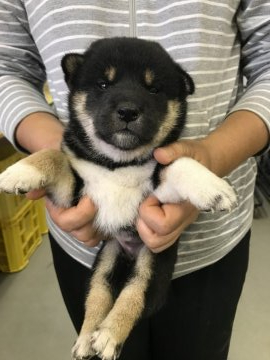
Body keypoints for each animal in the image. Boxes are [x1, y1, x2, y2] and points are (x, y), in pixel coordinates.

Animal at [0, 37, 236, 360]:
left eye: (153, 89)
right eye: (103, 84)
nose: (127, 110)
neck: (119, 163)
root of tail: (128, 254)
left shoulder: (157, 190)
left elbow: (179, 163)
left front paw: (213, 187)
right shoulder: (74, 190)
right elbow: (55, 156)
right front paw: (20, 171)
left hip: (153, 263)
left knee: (134, 295)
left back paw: (109, 335)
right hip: (105, 259)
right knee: (98, 297)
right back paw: (87, 339)